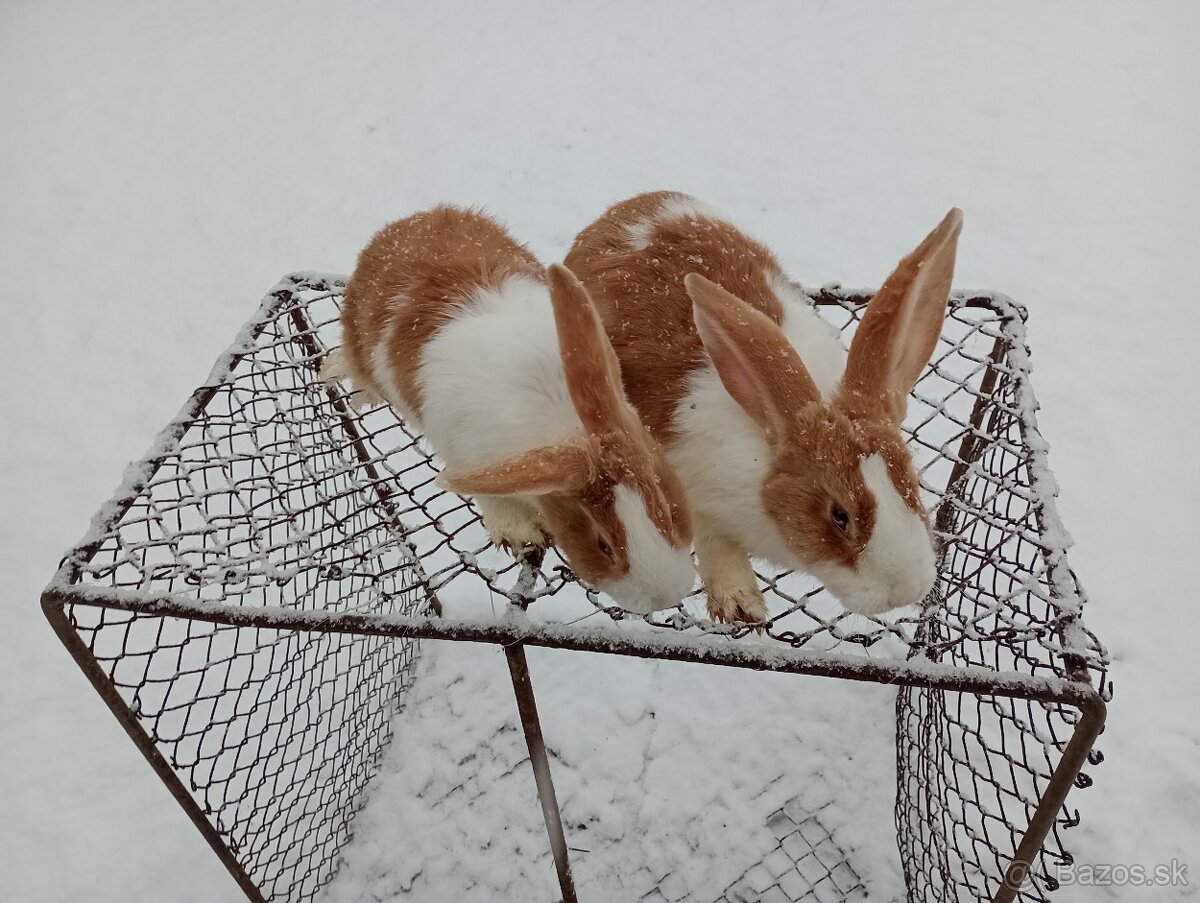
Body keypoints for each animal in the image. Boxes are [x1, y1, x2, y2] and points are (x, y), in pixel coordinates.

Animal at [321, 204, 696, 614]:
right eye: (603, 544)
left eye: (665, 505)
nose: (665, 597)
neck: (566, 428)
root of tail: (407, 222)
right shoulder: (466, 455)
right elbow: (493, 500)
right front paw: (522, 534)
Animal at [561, 193, 964, 624]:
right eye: (839, 515)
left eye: (912, 485)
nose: (906, 591)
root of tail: (627, 207)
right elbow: (714, 540)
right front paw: (742, 607)